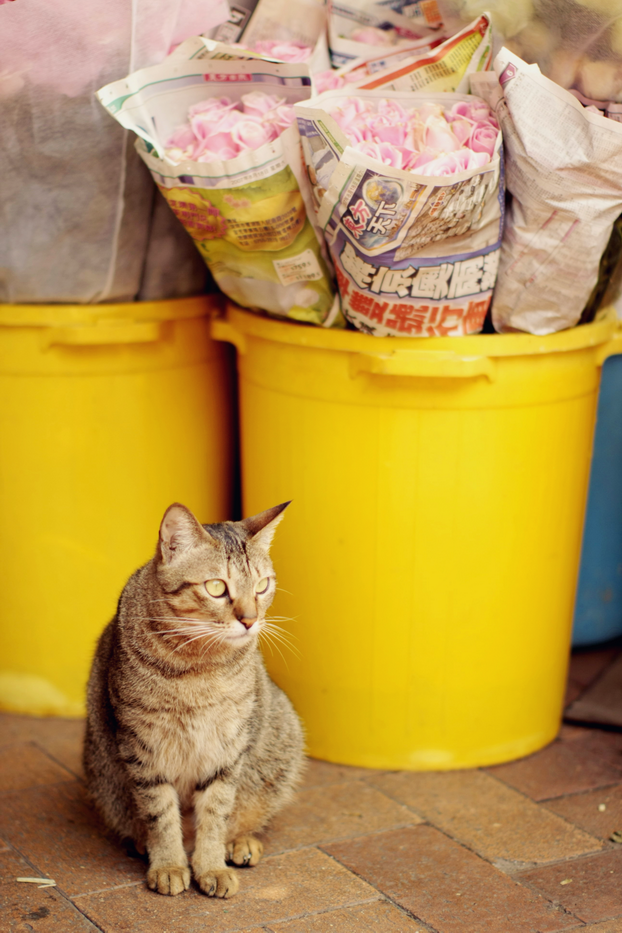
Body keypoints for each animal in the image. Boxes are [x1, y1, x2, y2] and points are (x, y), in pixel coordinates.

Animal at [84, 502, 306, 896]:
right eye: (216, 587)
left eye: (262, 585)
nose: (250, 620)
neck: (198, 667)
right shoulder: (143, 748)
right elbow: (160, 814)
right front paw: (169, 864)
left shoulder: (227, 747)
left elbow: (216, 813)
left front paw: (212, 865)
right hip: (103, 773)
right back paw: (144, 843)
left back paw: (241, 843)